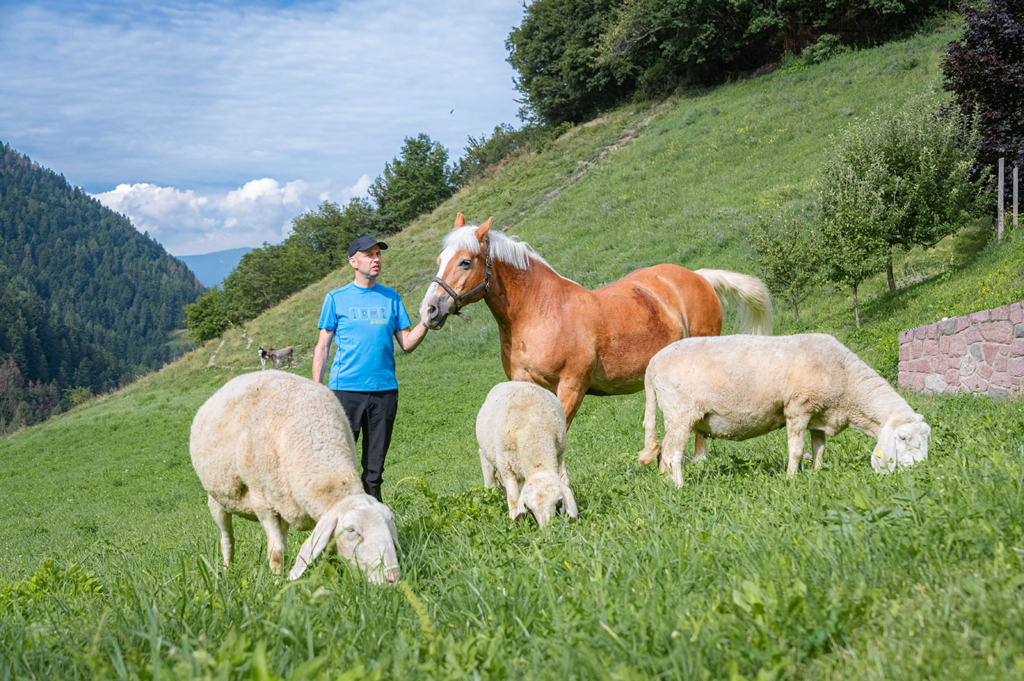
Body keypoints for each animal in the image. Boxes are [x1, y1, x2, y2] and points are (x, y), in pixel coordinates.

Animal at [190, 368, 401, 581]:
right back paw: (227, 572)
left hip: (283, 499)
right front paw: (277, 584)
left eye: (388, 523)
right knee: (227, 539)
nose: (393, 578)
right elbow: (276, 554)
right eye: (351, 530)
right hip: (218, 500)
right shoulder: (263, 504)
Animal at [419, 214, 770, 426]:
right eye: (439, 260)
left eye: (465, 262)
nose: (430, 310)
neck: (541, 312)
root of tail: (699, 277)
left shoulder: (572, 386)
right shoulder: (527, 385)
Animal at [477, 382, 581, 524]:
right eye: (529, 510)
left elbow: (565, 481)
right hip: (486, 457)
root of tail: (513, 382)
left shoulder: (559, 455)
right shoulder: (505, 467)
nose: (548, 528)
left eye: (559, 503)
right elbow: (513, 497)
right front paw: (513, 518)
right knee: (490, 485)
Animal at [638, 333, 937, 483]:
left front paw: (816, 473)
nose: (920, 470)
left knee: (664, 452)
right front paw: (791, 480)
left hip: (674, 415)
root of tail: (652, 363)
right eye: (902, 438)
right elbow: (795, 449)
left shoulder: (819, 413)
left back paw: (666, 484)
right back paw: (679, 487)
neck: (847, 381)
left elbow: (819, 448)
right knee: (673, 454)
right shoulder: (798, 408)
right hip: (681, 413)